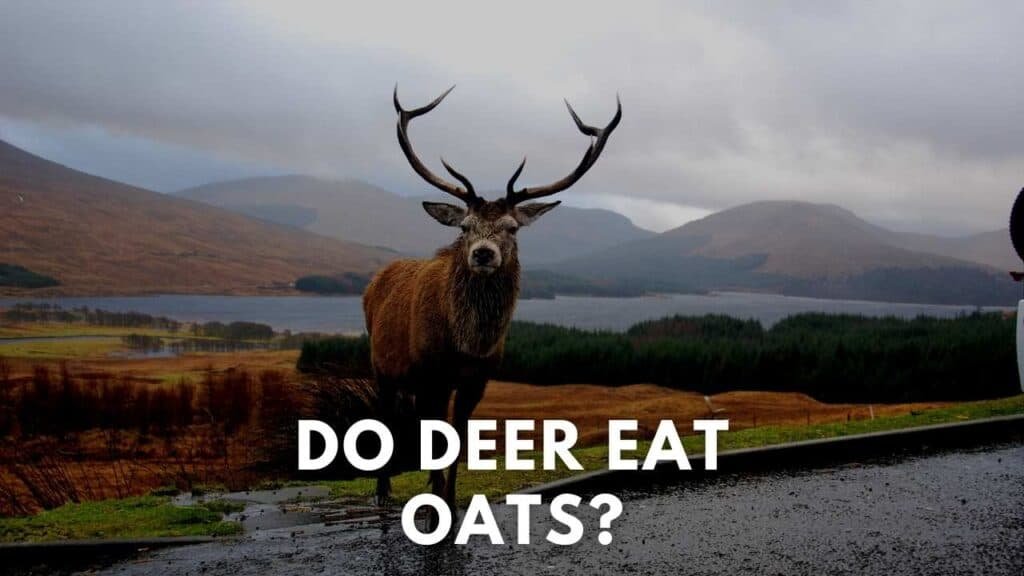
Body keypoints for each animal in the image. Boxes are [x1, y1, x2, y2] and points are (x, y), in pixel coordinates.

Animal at [362, 85, 621, 519]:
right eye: (466, 226)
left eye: (512, 227)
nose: (483, 253)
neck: (466, 344)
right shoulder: (433, 374)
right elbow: (437, 441)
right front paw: (433, 507)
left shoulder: (477, 379)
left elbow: (459, 441)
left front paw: (449, 500)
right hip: (382, 366)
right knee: (384, 417)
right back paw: (382, 492)